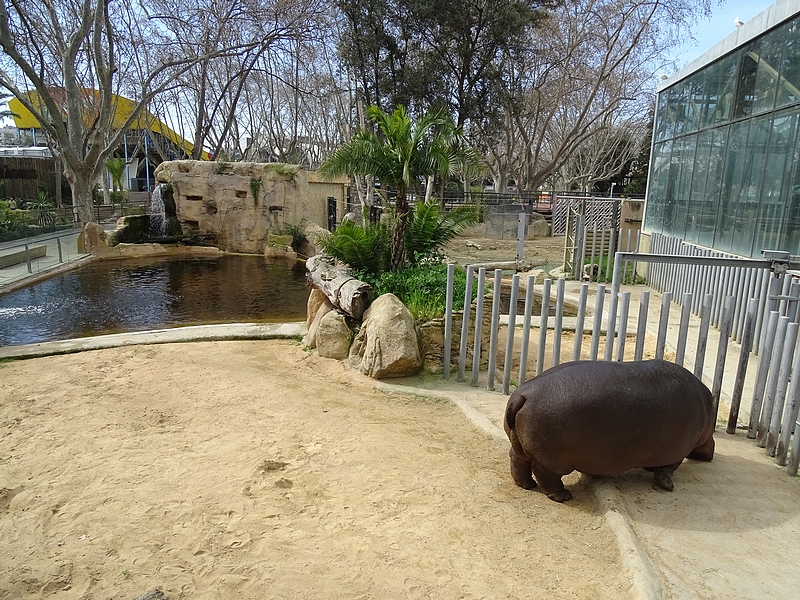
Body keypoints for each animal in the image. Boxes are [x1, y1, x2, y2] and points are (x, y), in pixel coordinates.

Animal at [504, 360, 715, 502]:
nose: (710, 455)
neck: (707, 408)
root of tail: (523, 394)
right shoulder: (677, 451)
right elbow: (668, 469)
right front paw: (668, 486)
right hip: (555, 459)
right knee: (544, 473)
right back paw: (563, 496)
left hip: (523, 446)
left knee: (518, 460)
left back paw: (526, 485)